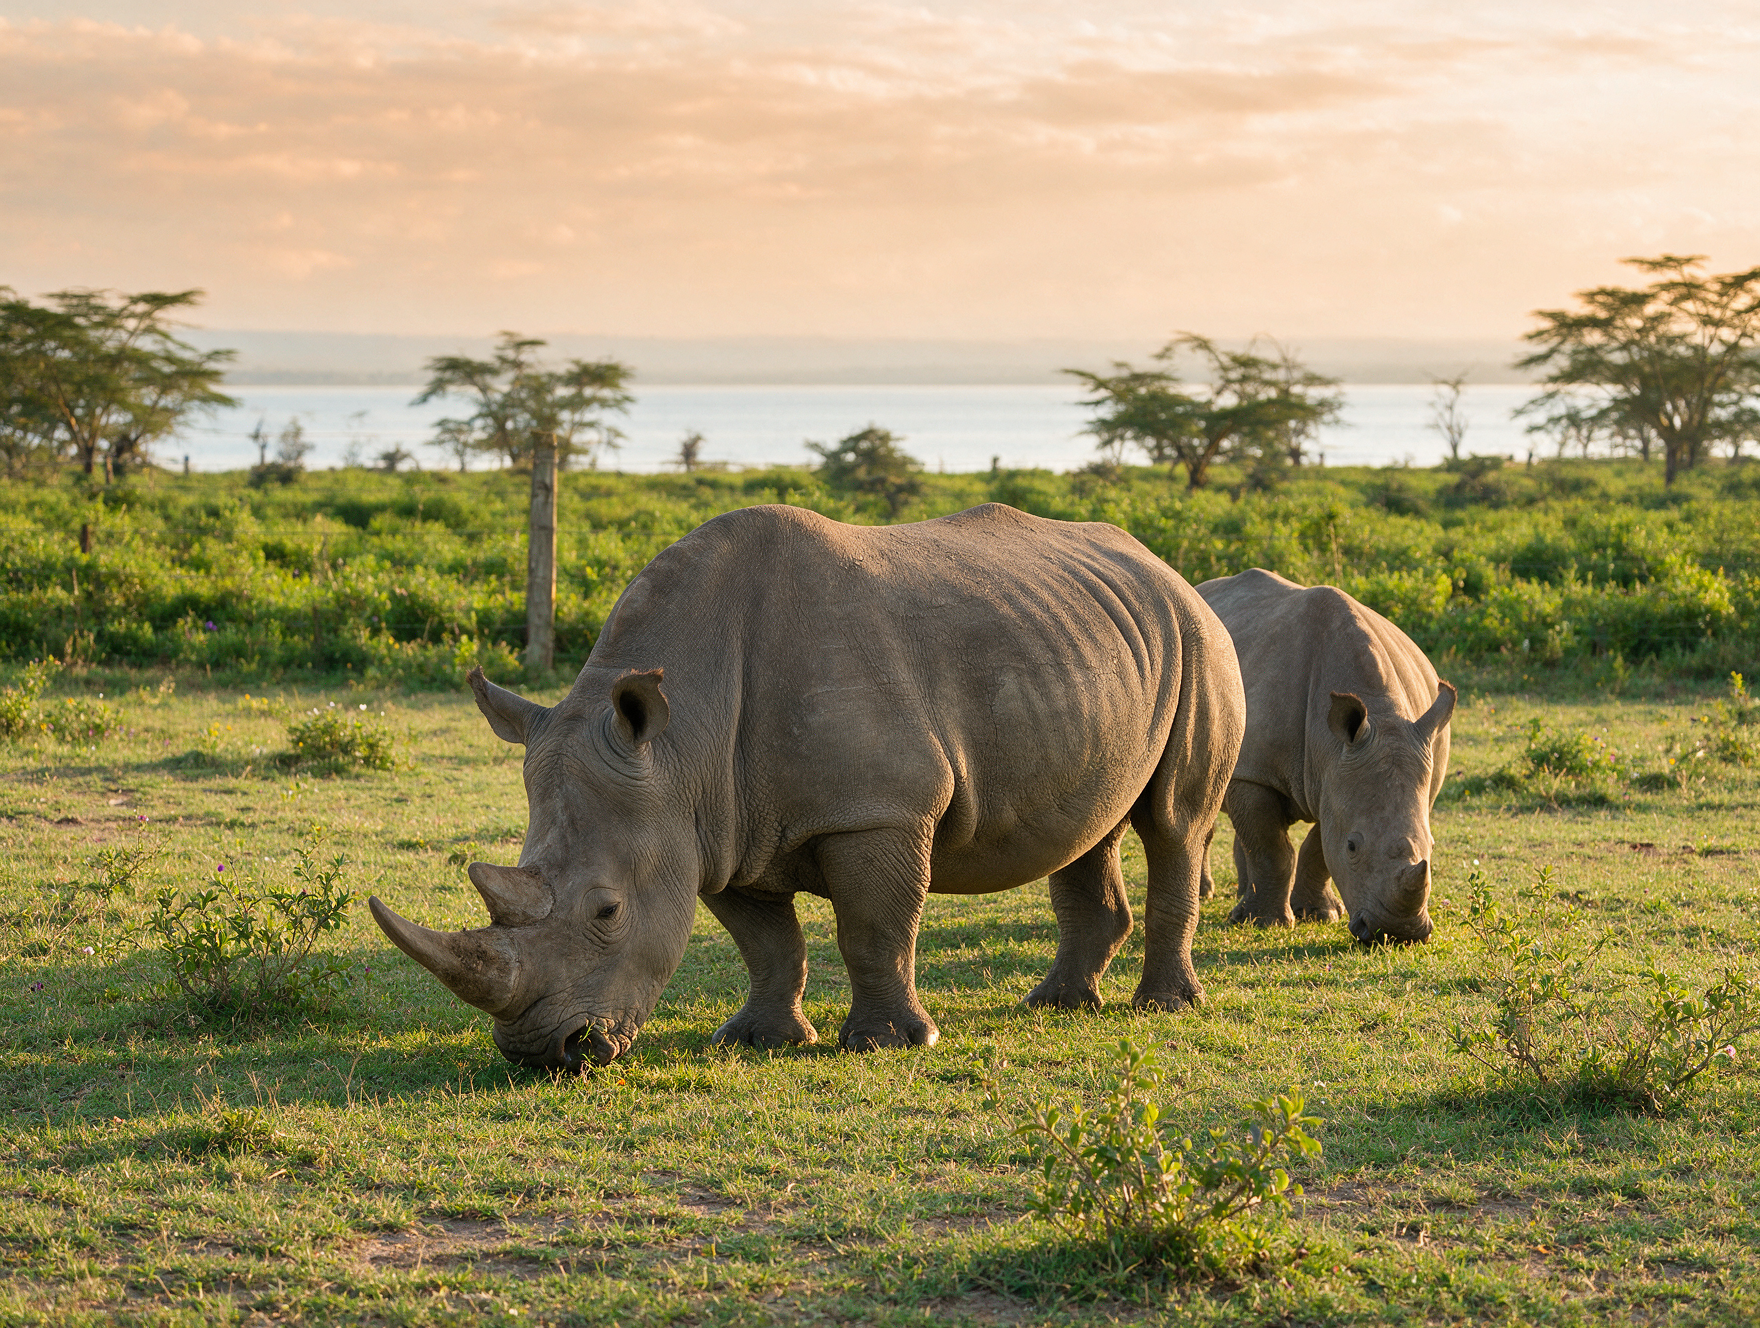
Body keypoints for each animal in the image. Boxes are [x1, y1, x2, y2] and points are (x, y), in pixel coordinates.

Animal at [370, 502, 1244, 1070]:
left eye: (607, 912)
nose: (545, 1054)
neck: (679, 741)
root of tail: (1166, 566)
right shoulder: (713, 825)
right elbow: (767, 942)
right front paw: (759, 1041)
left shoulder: (877, 810)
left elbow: (873, 927)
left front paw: (891, 1044)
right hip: (1092, 642)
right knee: (1088, 823)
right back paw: (1056, 1005)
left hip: (1200, 638)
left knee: (1175, 820)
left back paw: (1165, 1007)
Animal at [1195, 569, 1454, 943]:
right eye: (1353, 847)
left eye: (1433, 846)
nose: (1397, 933)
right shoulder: (1254, 772)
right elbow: (1271, 848)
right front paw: (1265, 923)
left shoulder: (1336, 780)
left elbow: (1317, 848)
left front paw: (1319, 914)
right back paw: (1211, 896)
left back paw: (1242, 894)